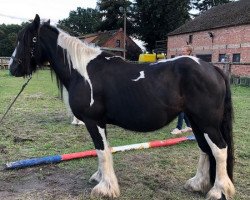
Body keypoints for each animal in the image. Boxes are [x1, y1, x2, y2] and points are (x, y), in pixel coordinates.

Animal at [8, 14, 235, 199]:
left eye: (29, 39)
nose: (13, 68)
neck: (82, 71)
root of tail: (211, 68)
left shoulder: (93, 121)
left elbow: (101, 151)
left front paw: (105, 188)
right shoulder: (99, 122)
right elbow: (103, 150)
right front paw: (100, 178)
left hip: (207, 123)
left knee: (219, 150)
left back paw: (218, 191)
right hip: (196, 121)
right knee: (205, 148)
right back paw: (197, 184)